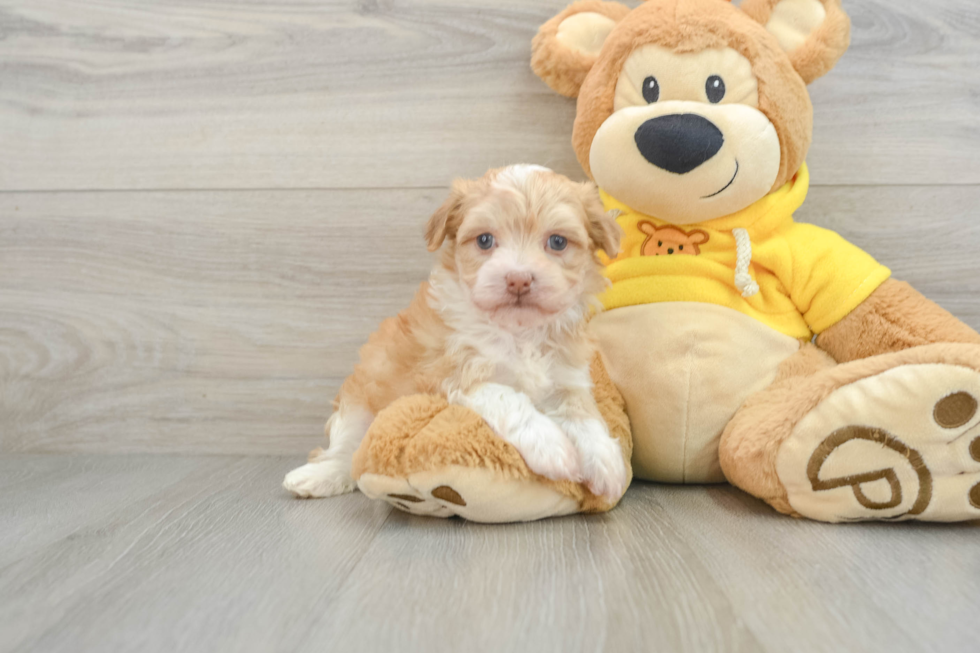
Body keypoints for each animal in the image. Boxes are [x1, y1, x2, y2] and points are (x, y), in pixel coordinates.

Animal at [286, 163, 628, 500]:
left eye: (557, 242)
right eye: (485, 240)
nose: (518, 279)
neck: (518, 332)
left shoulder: (566, 376)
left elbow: (583, 413)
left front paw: (606, 460)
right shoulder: (448, 371)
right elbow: (507, 397)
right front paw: (551, 446)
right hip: (360, 400)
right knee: (347, 452)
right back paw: (316, 477)